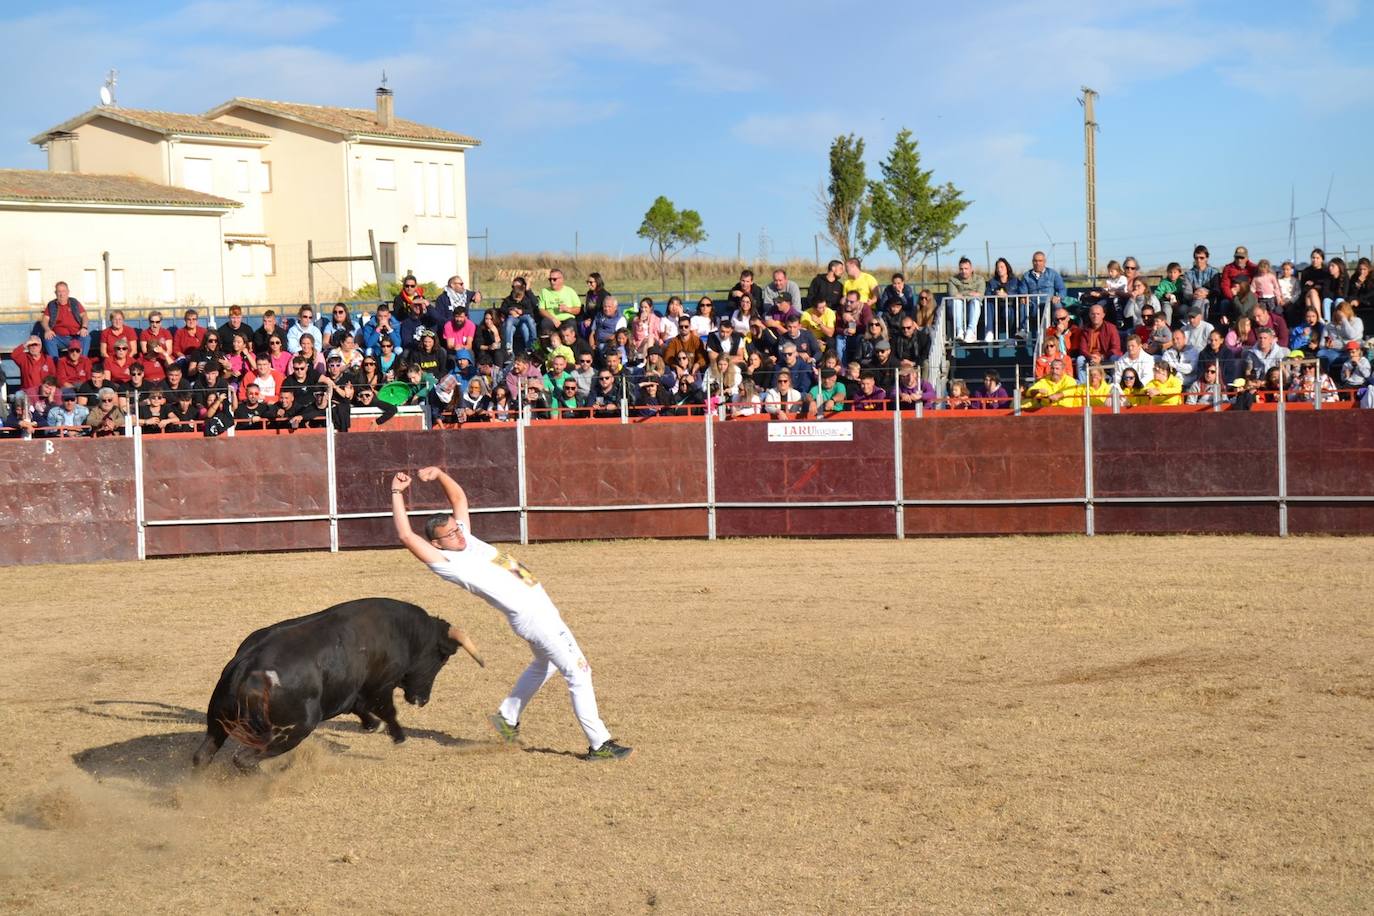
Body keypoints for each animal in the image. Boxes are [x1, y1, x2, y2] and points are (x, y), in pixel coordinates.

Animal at [193, 598, 483, 769]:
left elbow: (360, 707)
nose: (422, 700)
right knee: (243, 759)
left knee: (203, 755)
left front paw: (372, 726)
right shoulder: (381, 685)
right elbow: (388, 710)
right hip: (293, 730)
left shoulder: (351, 690)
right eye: (442, 658)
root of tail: (245, 668)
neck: (404, 632)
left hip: (216, 721)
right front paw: (399, 736)